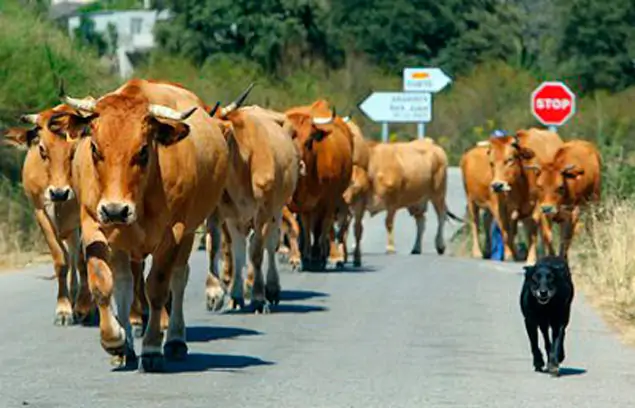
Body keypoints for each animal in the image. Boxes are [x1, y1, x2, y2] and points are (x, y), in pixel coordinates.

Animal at [59, 78, 231, 372]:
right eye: (94, 149)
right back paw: (126, 347)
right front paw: (115, 341)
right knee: (125, 284)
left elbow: (158, 289)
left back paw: (175, 341)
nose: (115, 210)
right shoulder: (93, 224)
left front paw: (151, 348)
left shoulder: (174, 233)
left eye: (142, 151)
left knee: (178, 279)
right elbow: (102, 284)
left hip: (188, 232)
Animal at [205, 100, 302, 314]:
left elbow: (257, 252)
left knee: (270, 244)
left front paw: (258, 297)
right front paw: (214, 293)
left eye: (220, 135)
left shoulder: (264, 212)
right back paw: (236, 295)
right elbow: (215, 246)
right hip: (237, 217)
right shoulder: (216, 212)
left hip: (276, 210)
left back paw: (272, 289)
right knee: (239, 248)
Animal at [284, 100, 356, 270]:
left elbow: (322, 228)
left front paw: (318, 256)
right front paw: (296, 258)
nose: (298, 165)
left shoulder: (328, 201)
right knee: (306, 226)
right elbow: (294, 228)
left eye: (309, 141)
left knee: (325, 228)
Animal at [486, 127, 560, 264]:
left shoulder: (537, 207)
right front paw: (510, 256)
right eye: (491, 163)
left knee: (546, 233)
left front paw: (531, 258)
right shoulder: (503, 208)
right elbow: (506, 233)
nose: (497, 185)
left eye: (509, 159)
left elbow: (533, 234)